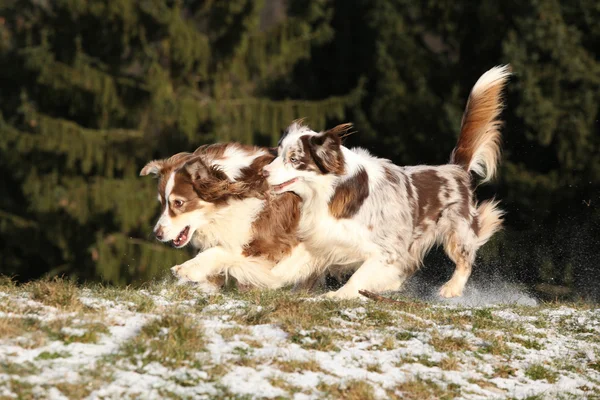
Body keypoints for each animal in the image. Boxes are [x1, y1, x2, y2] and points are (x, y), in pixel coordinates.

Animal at [139, 143, 310, 290]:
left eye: (178, 203)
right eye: (162, 203)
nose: (157, 234)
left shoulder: (270, 241)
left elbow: (223, 250)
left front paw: (186, 269)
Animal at [264, 65, 510, 296]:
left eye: (294, 159)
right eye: (278, 153)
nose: (263, 172)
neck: (329, 193)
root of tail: (455, 168)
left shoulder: (386, 249)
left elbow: (360, 275)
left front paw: (339, 295)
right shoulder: (323, 239)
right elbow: (290, 267)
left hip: (456, 231)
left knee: (465, 259)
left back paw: (451, 288)